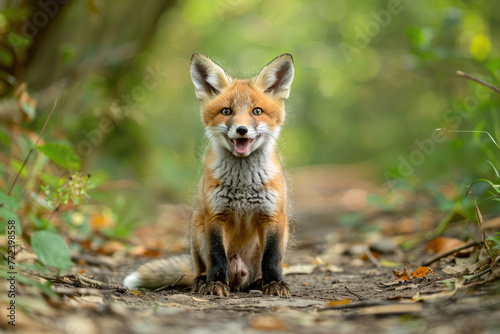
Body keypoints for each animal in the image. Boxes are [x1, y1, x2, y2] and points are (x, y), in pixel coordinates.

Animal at [124, 53, 292, 296]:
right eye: (227, 111)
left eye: (257, 111)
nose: (241, 130)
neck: (243, 184)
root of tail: (240, 277)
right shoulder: (215, 215)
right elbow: (217, 256)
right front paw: (215, 284)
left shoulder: (273, 216)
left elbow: (272, 258)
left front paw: (275, 283)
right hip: (197, 227)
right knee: (202, 267)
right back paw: (202, 281)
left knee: (255, 274)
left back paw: (259, 282)